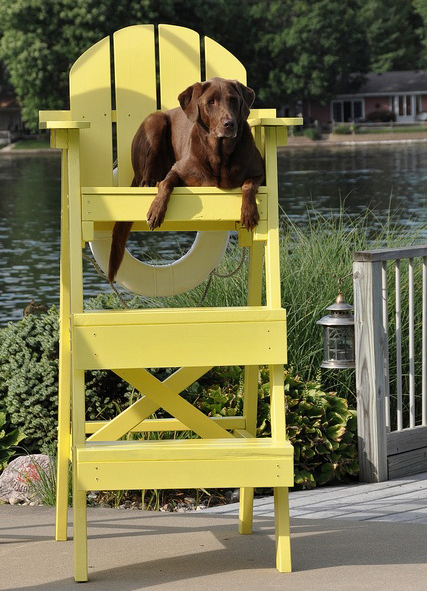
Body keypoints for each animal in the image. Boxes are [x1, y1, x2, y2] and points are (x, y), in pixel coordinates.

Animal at [108, 75, 264, 282]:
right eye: (211, 102)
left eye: (233, 100)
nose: (229, 124)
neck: (219, 155)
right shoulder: (178, 170)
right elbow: (167, 183)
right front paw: (156, 210)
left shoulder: (259, 172)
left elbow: (248, 184)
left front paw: (248, 212)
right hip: (155, 123)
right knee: (146, 179)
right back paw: (149, 183)